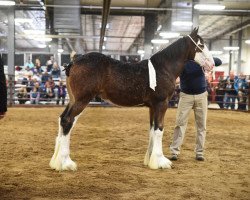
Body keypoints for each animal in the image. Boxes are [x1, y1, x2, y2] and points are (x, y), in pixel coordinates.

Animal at [49, 27, 214, 171]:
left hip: (73, 100)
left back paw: (56, 162)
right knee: (67, 121)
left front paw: (150, 160)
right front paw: (161, 161)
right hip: (82, 100)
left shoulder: (152, 106)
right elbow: (159, 129)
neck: (163, 68)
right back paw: (66, 163)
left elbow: (152, 129)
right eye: (201, 45)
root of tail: (74, 61)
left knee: (62, 119)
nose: (212, 64)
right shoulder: (162, 103)